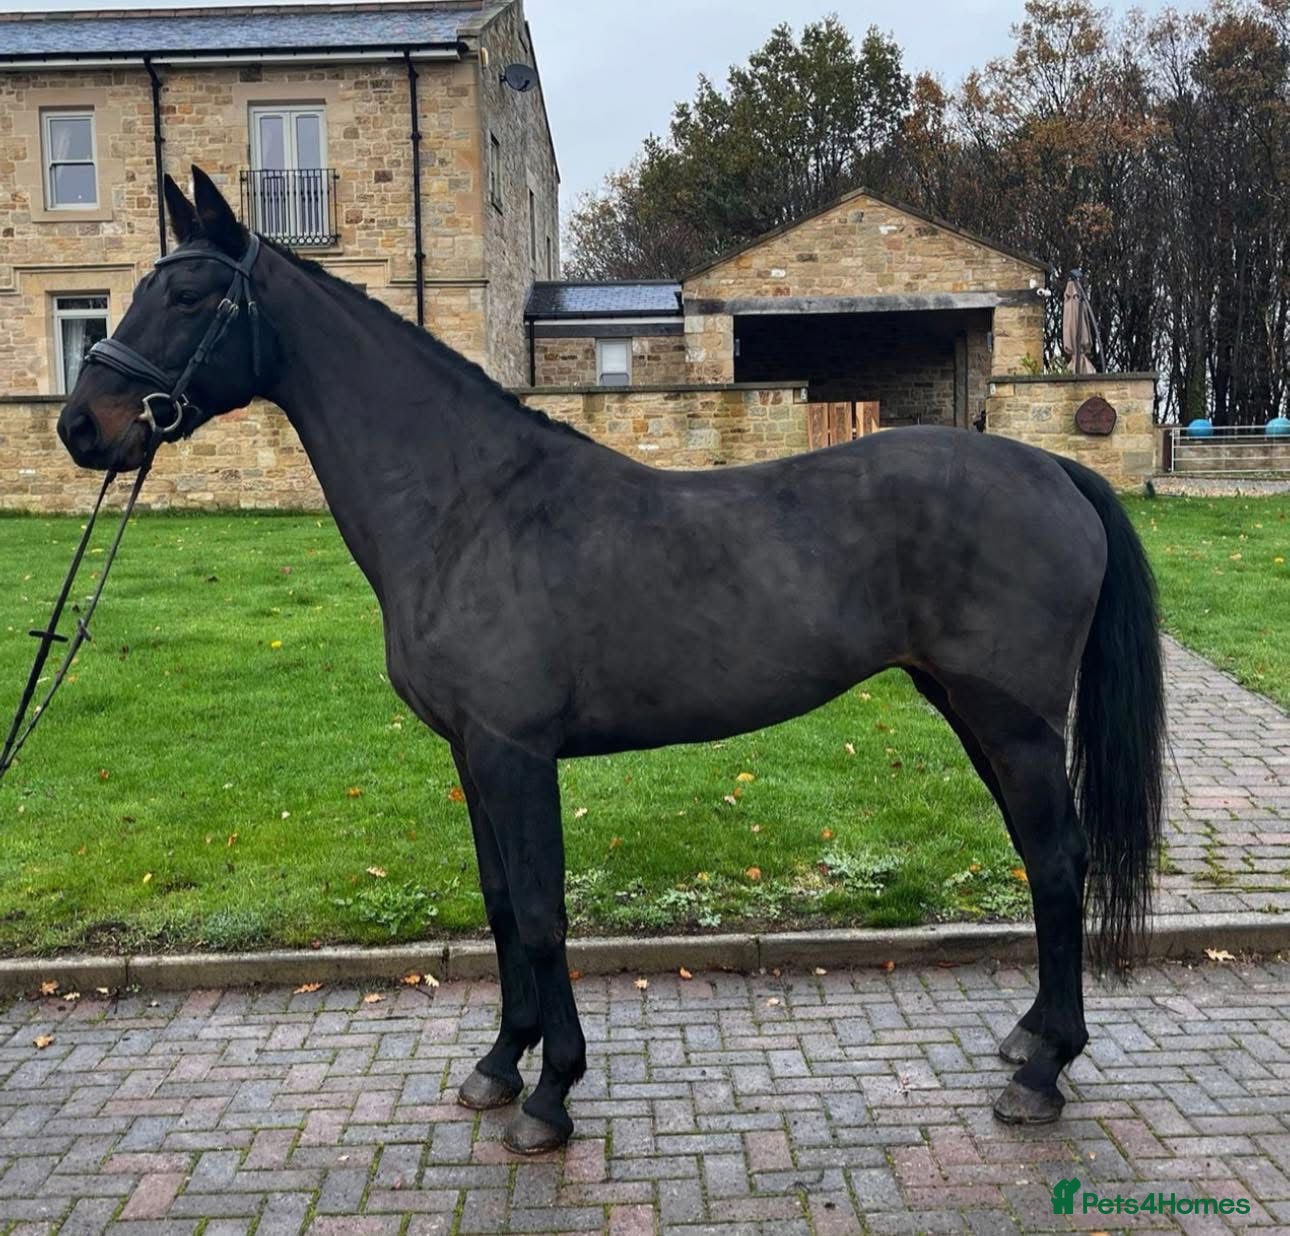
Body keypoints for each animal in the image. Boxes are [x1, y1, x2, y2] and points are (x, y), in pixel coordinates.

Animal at [57, 166, 1165, 1154]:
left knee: (1057, 859)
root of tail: (1054, 467)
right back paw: (1029, 1038)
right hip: (971, 710)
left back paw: (1041, 1074)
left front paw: (551, 1095)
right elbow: (503, 905)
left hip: (1015, 720)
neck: (468, 508)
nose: (81, 426)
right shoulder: (470, 753)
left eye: (189, 295)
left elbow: (545, 915)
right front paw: (498, 1066)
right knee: (1040, 857)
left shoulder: (514, 752)